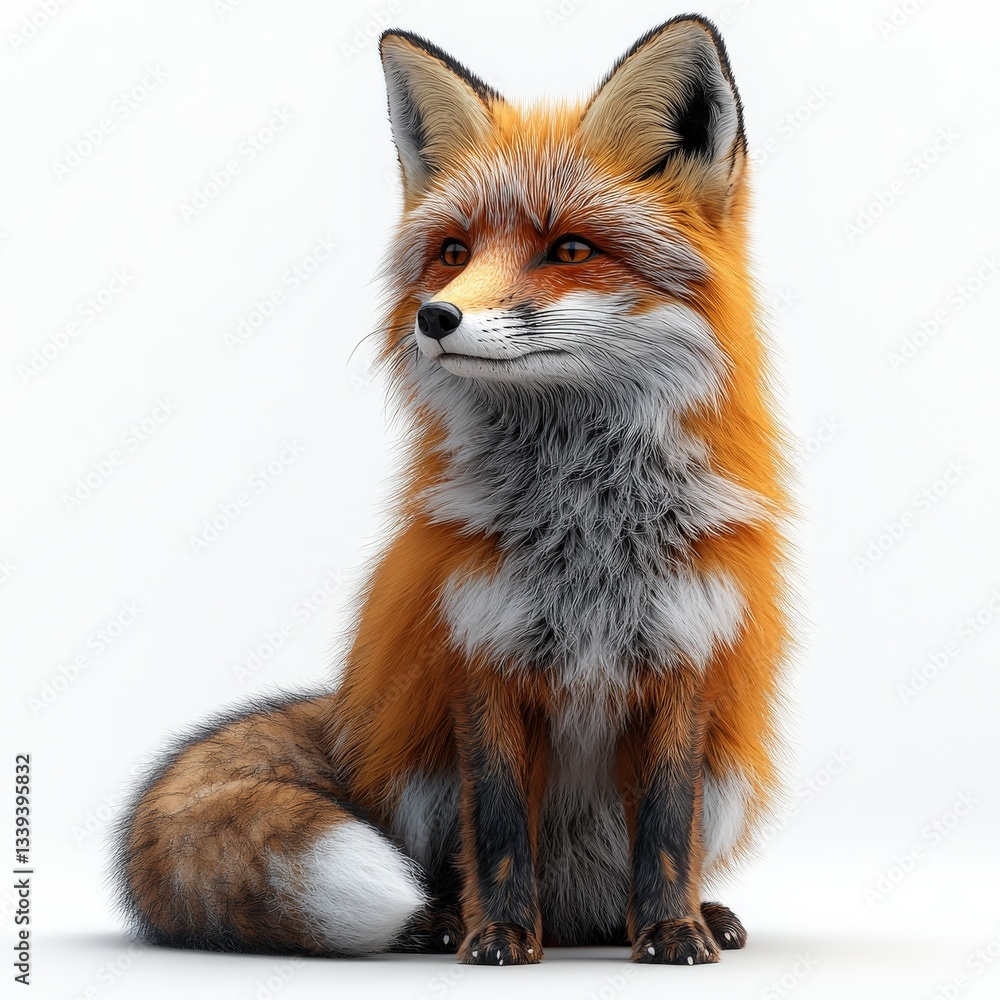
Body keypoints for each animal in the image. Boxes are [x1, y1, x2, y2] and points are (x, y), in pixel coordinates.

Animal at [115, 15, 791, 966]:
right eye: (453, 253)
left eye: (570, 249)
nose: (434, 317)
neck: (583, 530)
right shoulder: (480, 659)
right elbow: (499, 830)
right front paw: (497, 937)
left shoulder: (683, 664)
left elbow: (665, 831)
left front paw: (672, 933)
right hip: (413, 773)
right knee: (447, 867)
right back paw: (437, 922)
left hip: (727, 773)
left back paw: (693, 915)